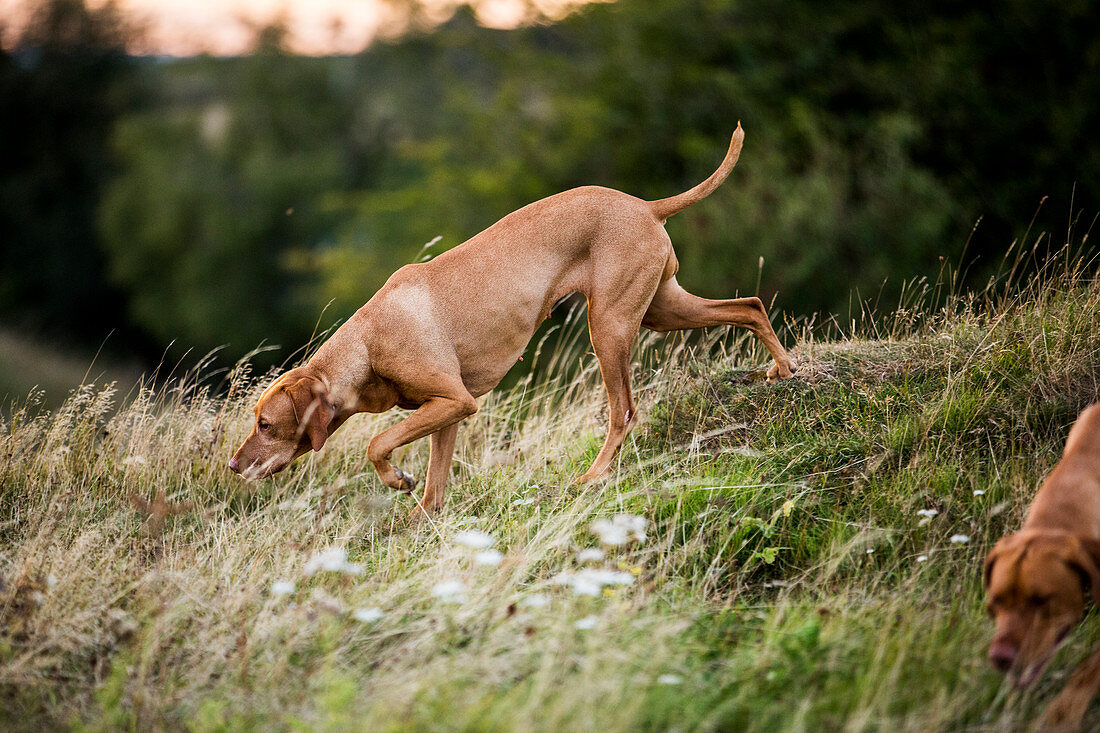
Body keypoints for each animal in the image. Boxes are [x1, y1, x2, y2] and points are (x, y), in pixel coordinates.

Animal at [232, 125, 796, 510]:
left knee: (624, 412)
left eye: (265, 424)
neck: (367, 346)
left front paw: (396, 480)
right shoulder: (446, 413)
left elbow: (377, 443)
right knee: (750, 306)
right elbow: (433, 487)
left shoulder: (454, 400)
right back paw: (784, 369)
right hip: (660, 308)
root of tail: (646, 206)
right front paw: (420, 522)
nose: (234, 465)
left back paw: (592, 479)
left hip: (609, 328)